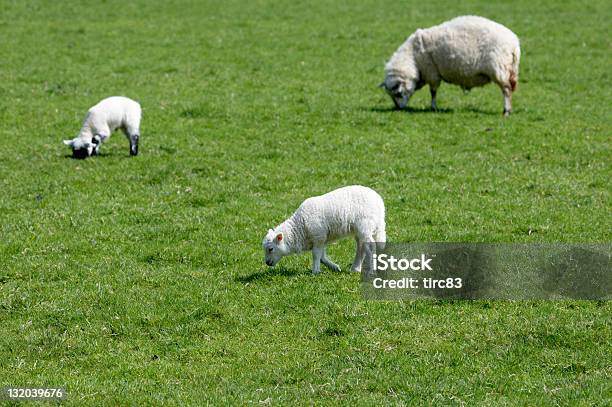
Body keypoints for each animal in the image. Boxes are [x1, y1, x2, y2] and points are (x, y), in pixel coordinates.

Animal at [382, 15, 520, 115]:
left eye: (398, 93)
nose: (399, 109)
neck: (413, 58)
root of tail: (514, 43)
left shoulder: (432, 73)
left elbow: (433, 92)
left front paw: (433, 108)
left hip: (499, 69)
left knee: (507, 90)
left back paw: (506, 111)